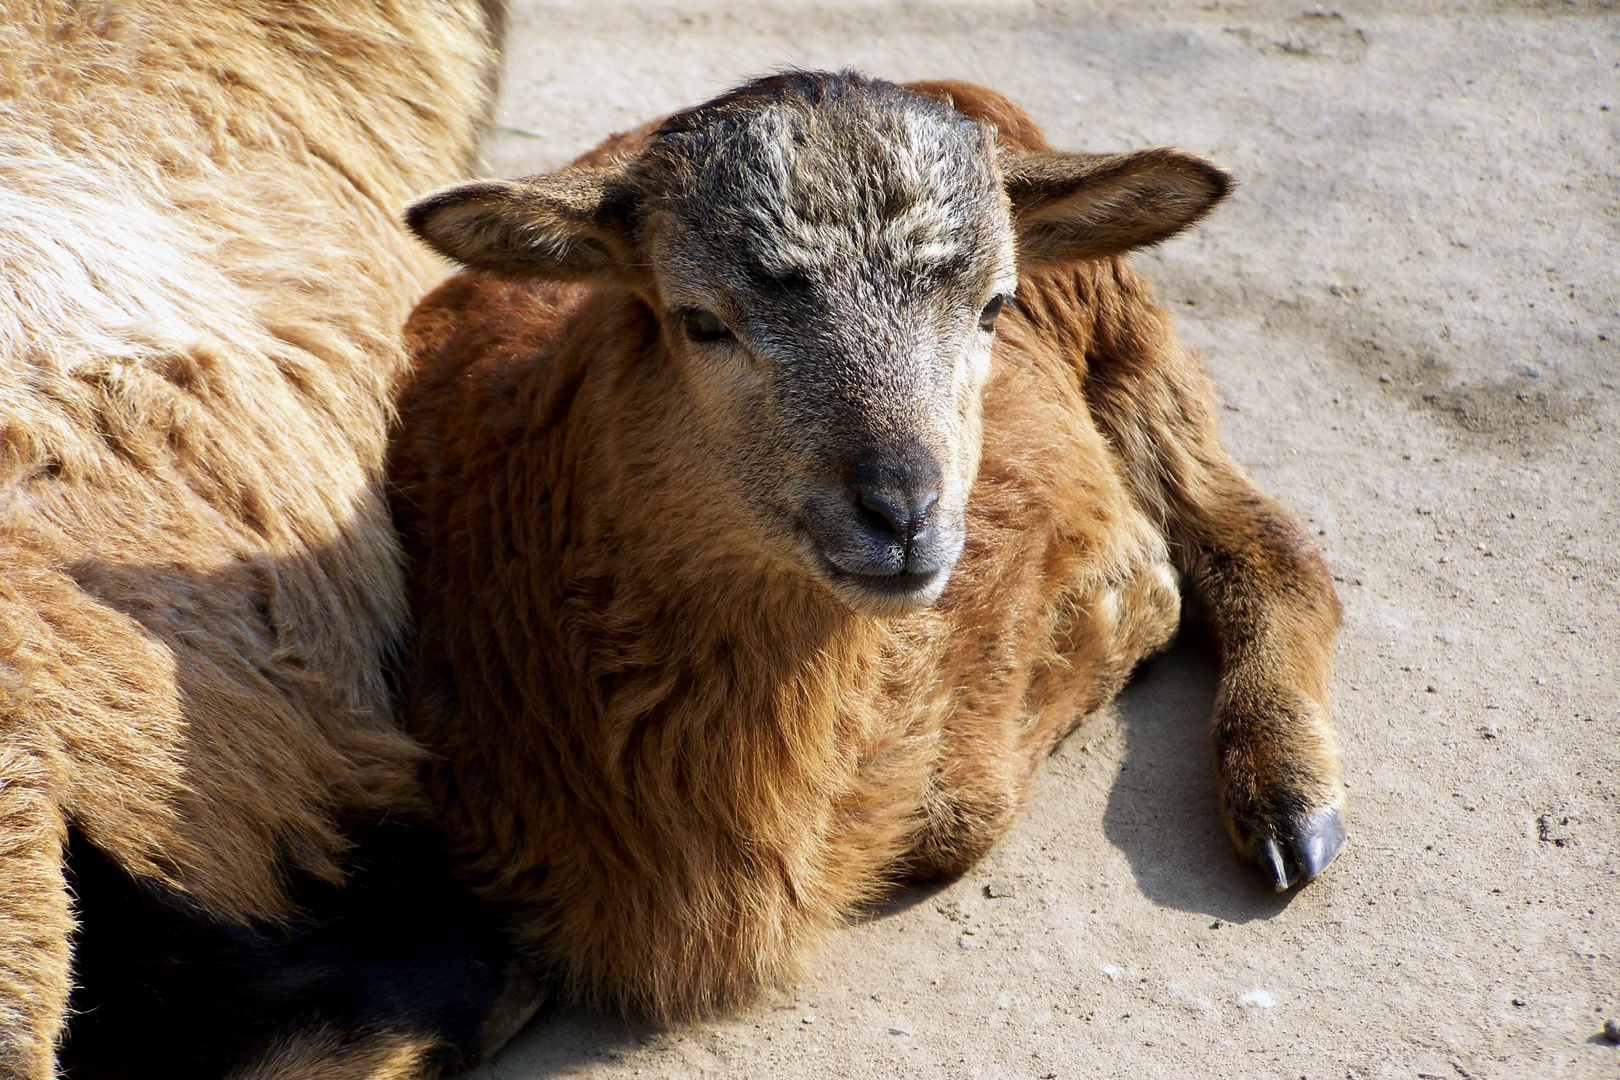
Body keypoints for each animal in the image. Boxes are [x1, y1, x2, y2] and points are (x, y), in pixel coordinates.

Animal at [395, 74, 1354, 1023]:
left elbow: (964, 809)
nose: (903, 514)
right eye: (699, 321)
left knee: (1274, 545)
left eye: (994, 306)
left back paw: (1289, 807)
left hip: (1134, 355)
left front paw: (1126, 607)